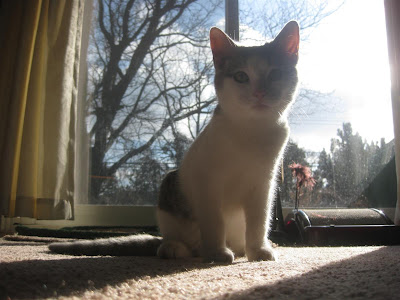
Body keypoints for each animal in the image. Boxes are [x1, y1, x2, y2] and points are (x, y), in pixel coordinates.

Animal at [49, 21, 300, 264]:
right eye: (241, 76)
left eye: (275, 74)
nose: (259, 93)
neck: (251, 131)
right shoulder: (207, 182)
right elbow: (215, 222)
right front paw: (218, 253)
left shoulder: (264, 184)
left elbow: (259, 222)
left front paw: (258, 251)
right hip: (171, 184)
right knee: (179, 240)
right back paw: (178, 248)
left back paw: (245, 249)